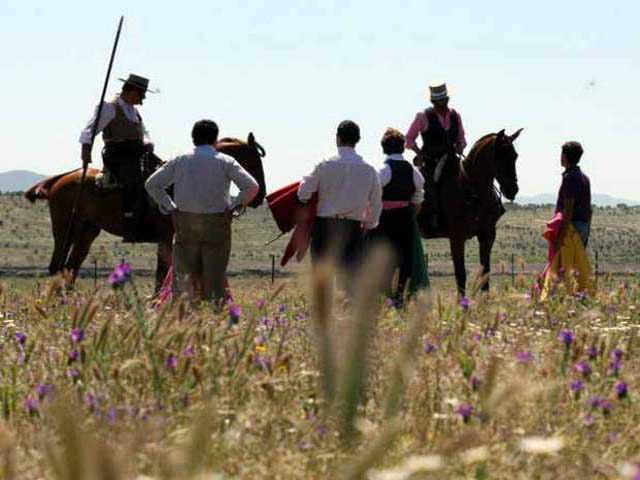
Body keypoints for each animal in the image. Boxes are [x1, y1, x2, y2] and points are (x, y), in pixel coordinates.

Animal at [25, 135, 268, 292]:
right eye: (255, 163)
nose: (260, 195)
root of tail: (60, 179)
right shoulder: (168, 238)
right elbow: (165, 272)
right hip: (65, 230)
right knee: (57, 265)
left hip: (87, 231)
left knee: (71, 266)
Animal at [418, 127, 524, 296]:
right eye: (499, 156)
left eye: (514, 156)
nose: (512, 190)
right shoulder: (457, 238)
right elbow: (460, 274)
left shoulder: (487, 236)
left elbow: (485, 273)